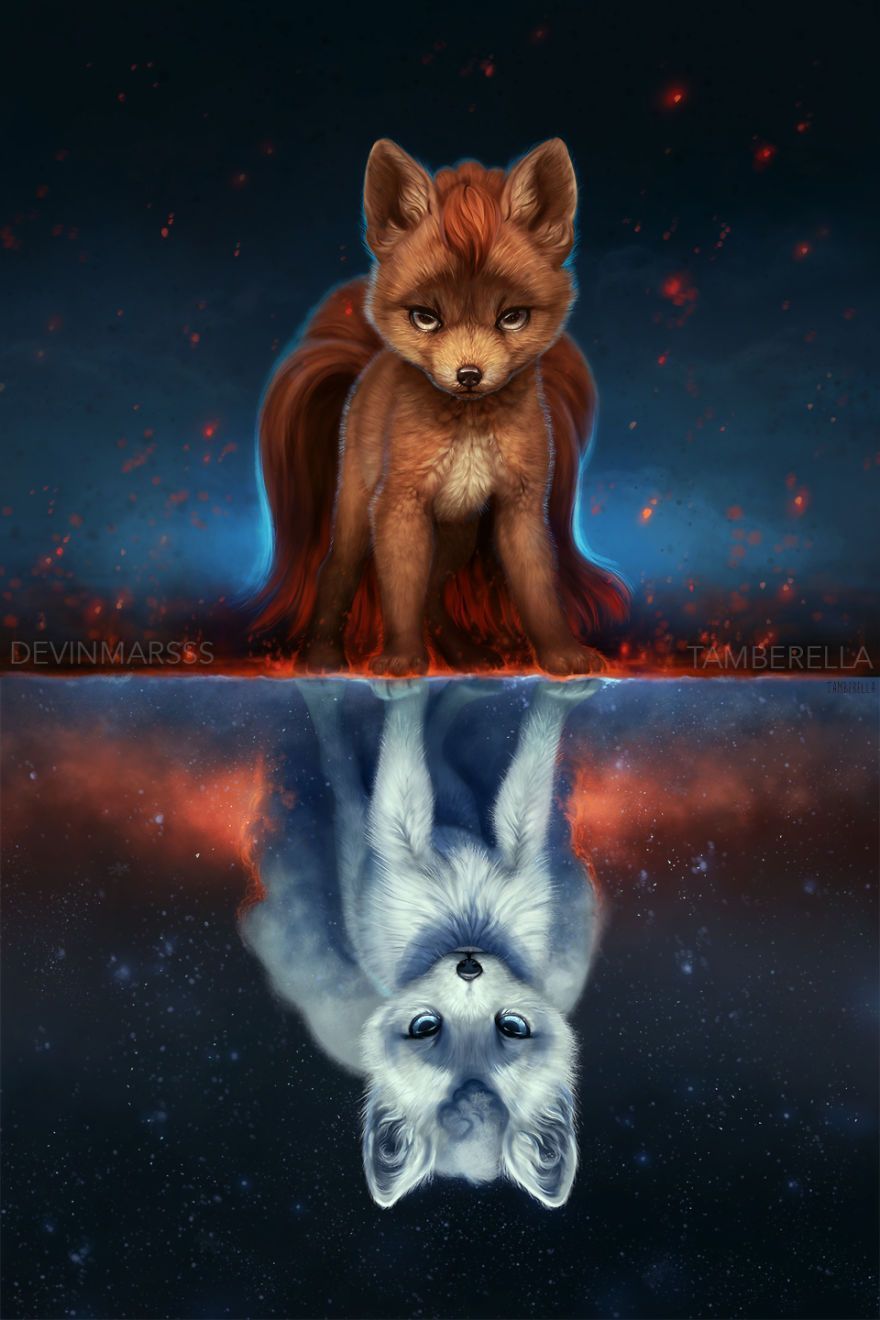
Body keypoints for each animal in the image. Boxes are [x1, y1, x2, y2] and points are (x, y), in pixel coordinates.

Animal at [240, 678, 603, 1208]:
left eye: (511, 1027)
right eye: (425, 1027)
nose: (469, 968)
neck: (466, 925)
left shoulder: (484, 857)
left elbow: (515, 796)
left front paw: (556, 697)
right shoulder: (429, 851)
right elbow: (491, 793)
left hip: (365, 856)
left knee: (361, 780)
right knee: (389, 768)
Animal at [253, 138, 629, 675]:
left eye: (512, 317)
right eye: (425, 317)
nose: (468, 375)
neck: (469, 426)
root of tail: (371, 363)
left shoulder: (519, 506)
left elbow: (538, 590)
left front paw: (562, 653)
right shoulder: (399, 503)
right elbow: (398, 592)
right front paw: (401, 658)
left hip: (457, 533)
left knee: (433, 592)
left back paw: (463, 654)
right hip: (358, 510)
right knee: (338, 571)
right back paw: (323, 655)